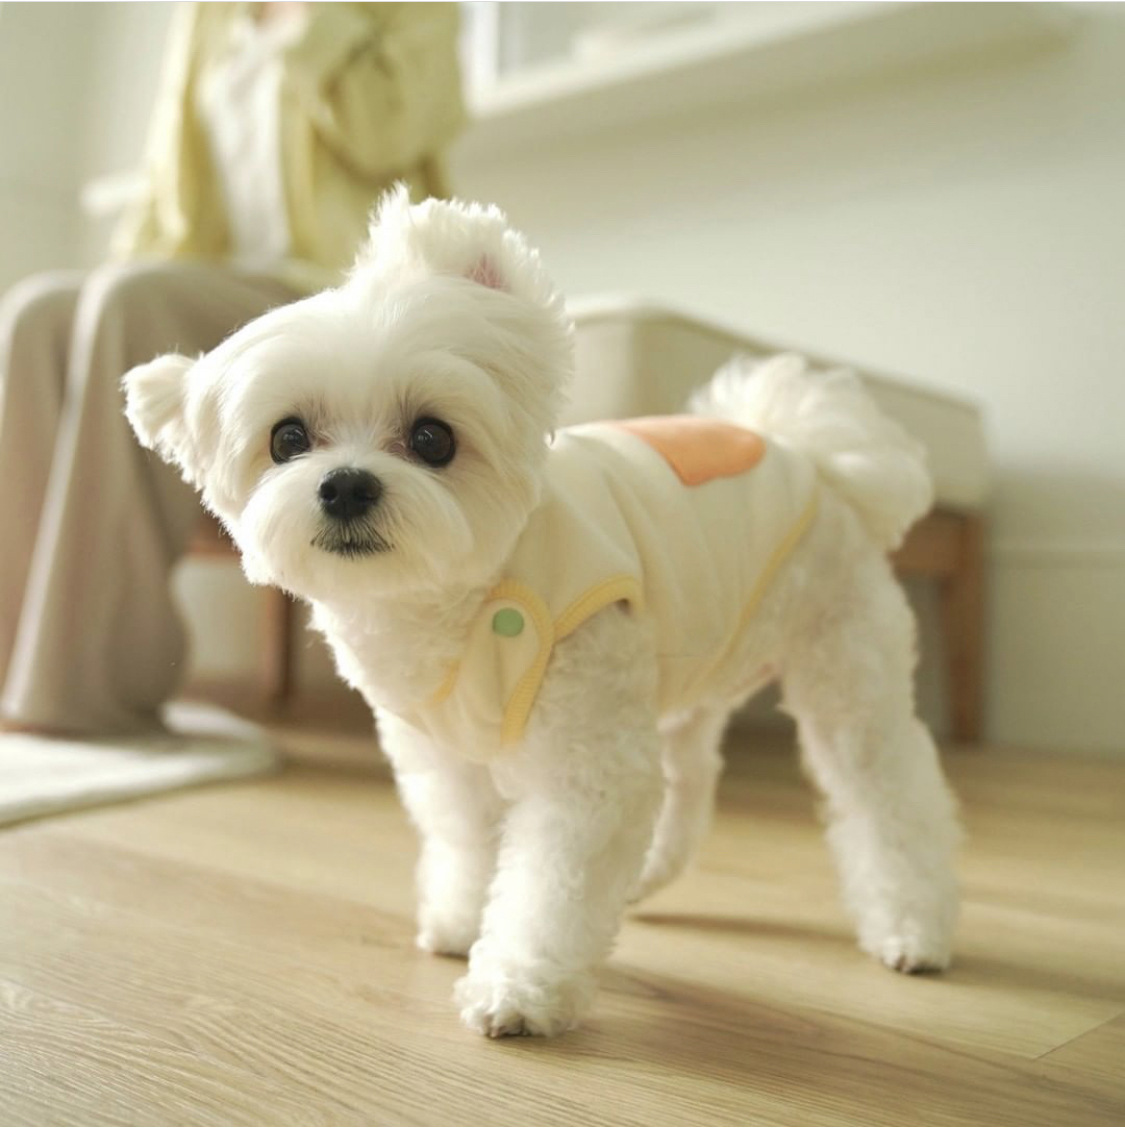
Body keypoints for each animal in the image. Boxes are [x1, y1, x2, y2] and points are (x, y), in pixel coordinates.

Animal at [123, 189, 960, 1038]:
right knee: (689, 783)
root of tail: (808, 454)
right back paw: (649, 876)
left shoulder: (583, 764)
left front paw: (520, 986)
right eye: (287, 438)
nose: (346, 485)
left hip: (843, 672)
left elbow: (549, 887)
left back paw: (912, 927)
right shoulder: (447, 756)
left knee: (889, 795)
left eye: (432, 438)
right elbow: (467, 844)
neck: (458, 602)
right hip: (678, 676)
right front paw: (463, 922)